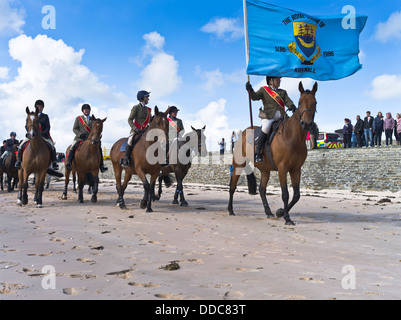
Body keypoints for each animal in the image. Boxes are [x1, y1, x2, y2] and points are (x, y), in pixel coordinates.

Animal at [228, 81, 316, 226]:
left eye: (315, 102)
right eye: (300, 102)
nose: (307, 124)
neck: (292, 137)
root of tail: (244, 132)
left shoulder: (296, 169)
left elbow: (296, 195)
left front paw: (280, 212)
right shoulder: (282, 169)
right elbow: (285, 194)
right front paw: (287, 218)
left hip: (265, 170)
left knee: (262, 190)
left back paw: (268, 212)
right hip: (238, 165)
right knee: (232, 187)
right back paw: (230, 210)